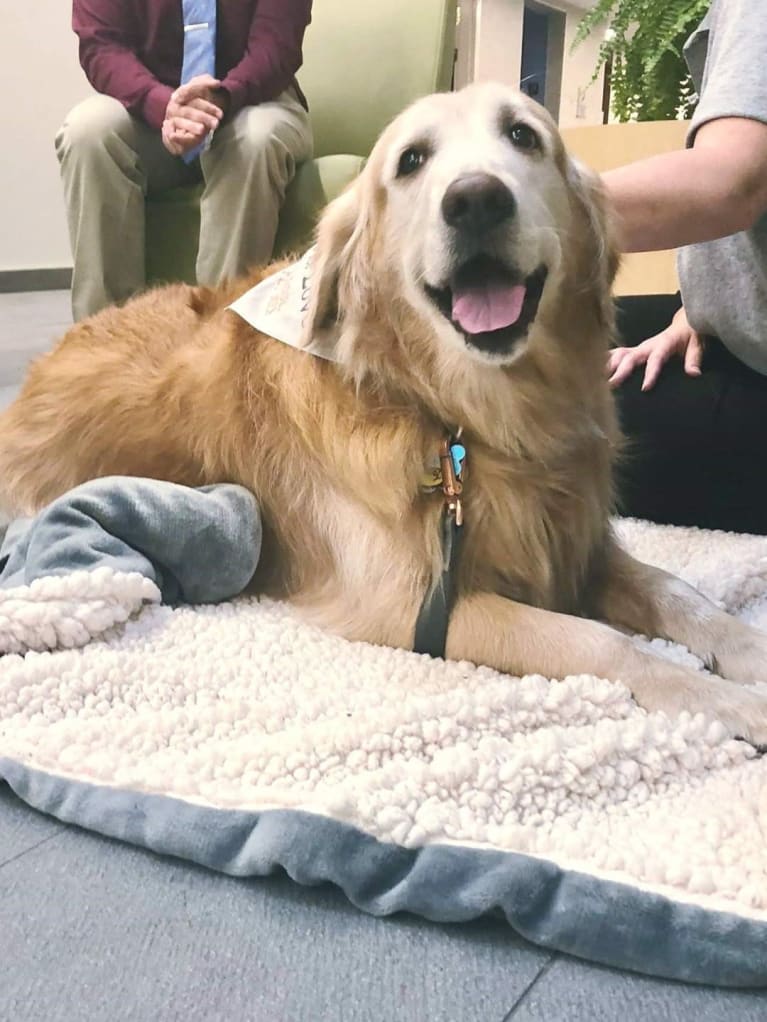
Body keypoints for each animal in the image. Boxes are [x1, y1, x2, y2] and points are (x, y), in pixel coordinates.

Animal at [1, 83, 767, 739]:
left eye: (523, 135)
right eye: (412, 161)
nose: (476, 199)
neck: (460, 413)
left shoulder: (575, 542)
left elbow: (679, 593)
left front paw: (746, 650)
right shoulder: (410, 604)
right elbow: (602, 642)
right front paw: (719, 698)